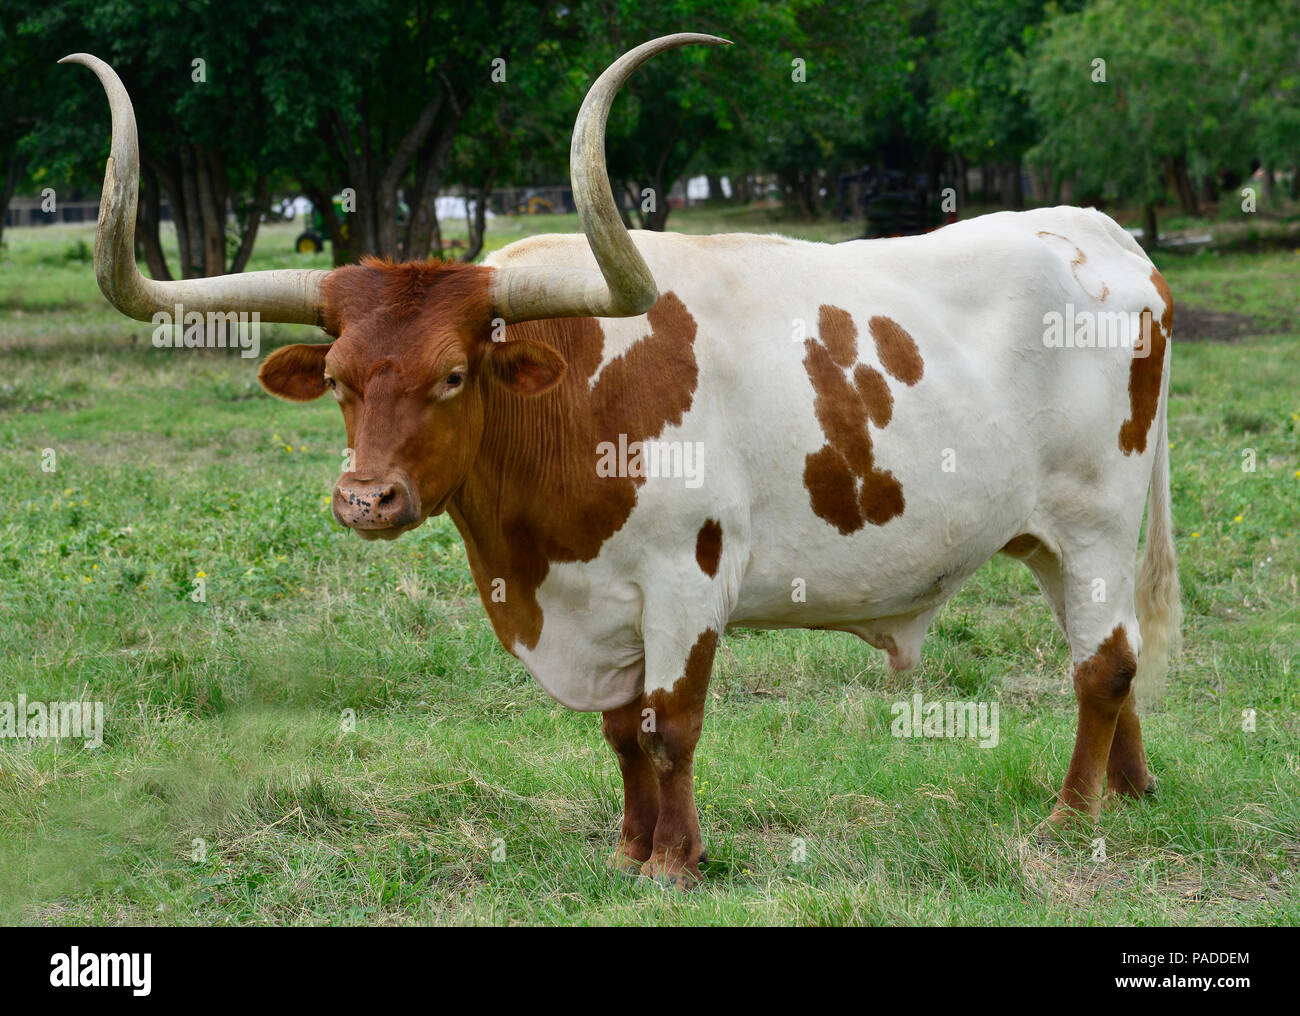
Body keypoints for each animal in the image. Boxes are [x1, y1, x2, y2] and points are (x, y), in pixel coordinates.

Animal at [65, 33, 1180, 893]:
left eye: (455, 374)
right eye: (337, 376)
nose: (364, 498)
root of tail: (1097, 230)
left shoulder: (686, 581)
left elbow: (668, 725)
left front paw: (676, 862)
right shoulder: (595, 604)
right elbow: (617, 733)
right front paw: (627, 849)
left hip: (1096, 519)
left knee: (1101, 664)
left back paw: (1070, 815)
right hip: (1048, 538)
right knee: (1113, 655)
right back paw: (1131, 794)